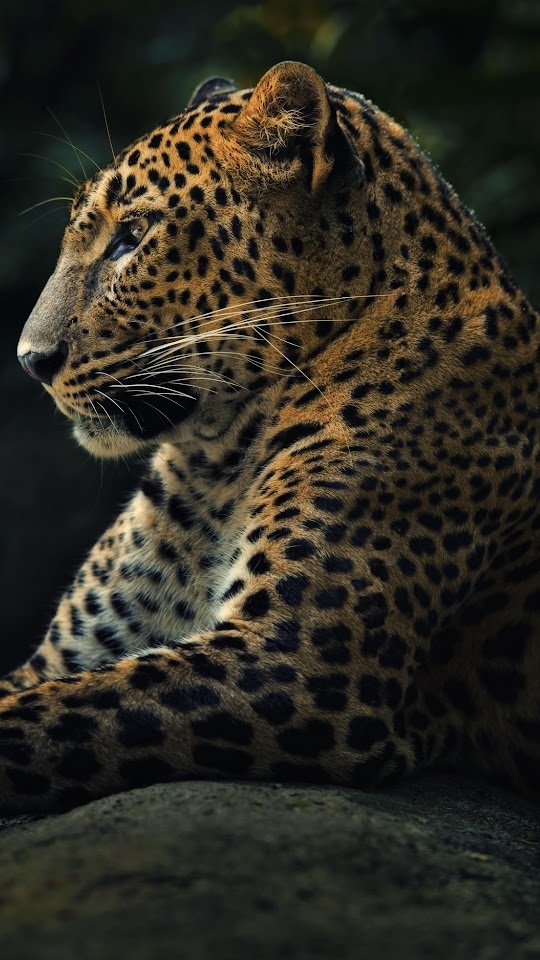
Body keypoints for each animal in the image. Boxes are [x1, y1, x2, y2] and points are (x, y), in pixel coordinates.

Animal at [2, 60, 539, 814]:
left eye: (132, 236)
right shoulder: (59, 657)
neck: (217, 460)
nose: (30, 360)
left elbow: (55, 715)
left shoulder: (288, 662)